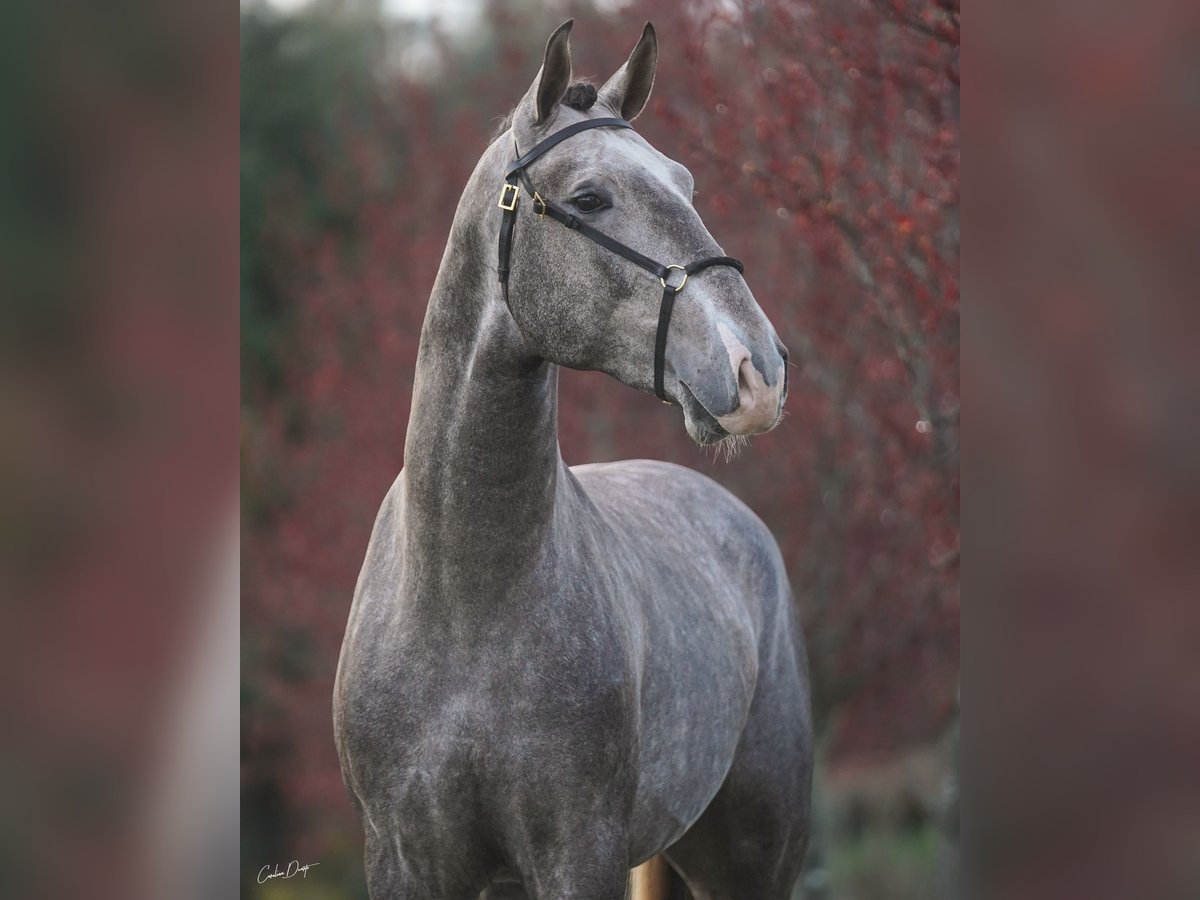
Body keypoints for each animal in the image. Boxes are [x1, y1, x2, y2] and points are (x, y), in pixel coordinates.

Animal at [333, 21, 811, 900]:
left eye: (686, 181)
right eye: (590, 198)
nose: (758, 369)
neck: (464, 602)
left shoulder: (578, 852)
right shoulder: (405, 858)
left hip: (752, 859)